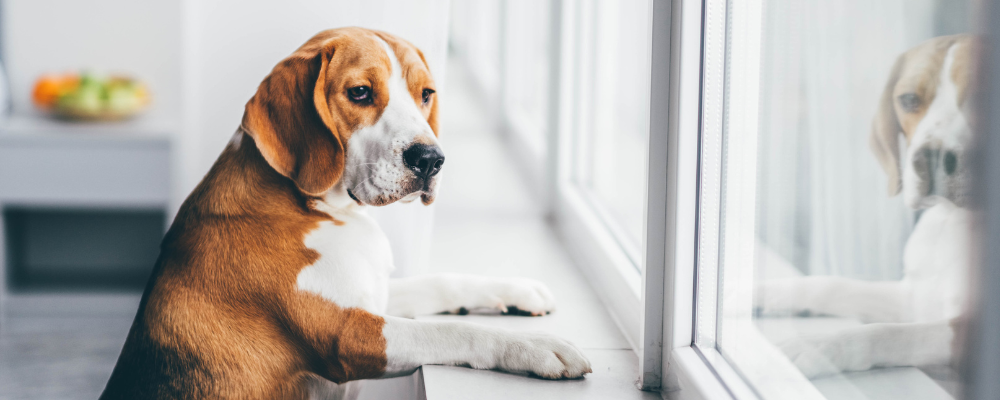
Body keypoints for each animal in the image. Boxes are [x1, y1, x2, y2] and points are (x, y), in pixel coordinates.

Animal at [98, 28, 588, 400]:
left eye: (426, 94)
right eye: (360, 92)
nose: (431, 159)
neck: (320, 208)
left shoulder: (373, 297)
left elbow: (442, 282)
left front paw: (518, 289)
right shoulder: (350, 335)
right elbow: (449, 332)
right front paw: (537, 347)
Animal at [756, 35, 976, 378]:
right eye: (909, 99)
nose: (930, 158)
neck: (954, 223)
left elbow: (890, 333)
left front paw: (818, 346)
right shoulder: (913, 298)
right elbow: (831, 286)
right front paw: (758, 292)